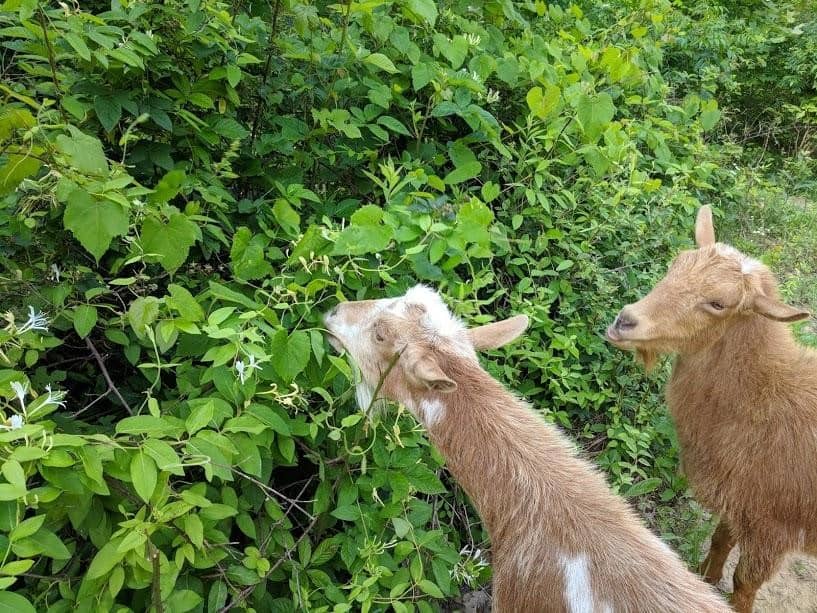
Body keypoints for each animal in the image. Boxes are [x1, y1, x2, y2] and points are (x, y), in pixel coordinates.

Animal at [607, 205, 815, 612]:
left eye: (718, 304)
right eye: (675, 264)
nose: (625, 321)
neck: (765, 398)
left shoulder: (773, 529)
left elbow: (745, 582)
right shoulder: (741, 499)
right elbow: (721, 539)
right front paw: (705, 577)